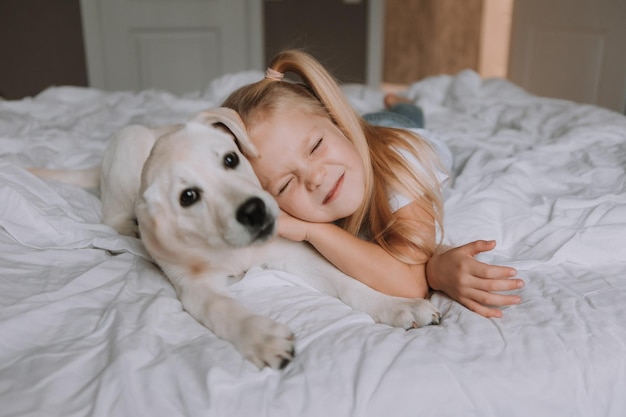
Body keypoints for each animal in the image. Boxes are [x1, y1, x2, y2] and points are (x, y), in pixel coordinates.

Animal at [28, 109, 438, 368]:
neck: (229, 249)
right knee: (111, 216)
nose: (254, 211)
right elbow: (223, 308)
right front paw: (261, 336)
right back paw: (130, 229)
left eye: (230, 159)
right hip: (125, 148)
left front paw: (397, 306)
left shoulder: (295, 254)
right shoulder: (194, 286)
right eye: (188, 197)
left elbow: (347, 283)